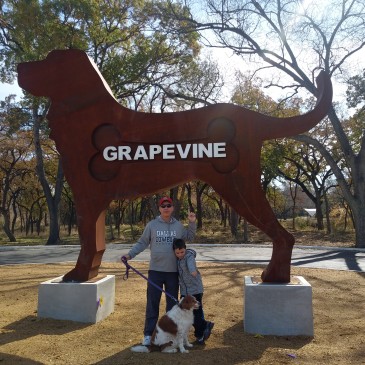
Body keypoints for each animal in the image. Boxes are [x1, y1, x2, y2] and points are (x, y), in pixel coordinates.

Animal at [17, 49, 332, 282]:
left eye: (50, 59)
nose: (18, 66)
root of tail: (251, 116)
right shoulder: (94, 200)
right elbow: (95, 242)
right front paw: (88, 273)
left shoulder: (87, 196)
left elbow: (87, 240)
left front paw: (79, 274)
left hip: (239, 188)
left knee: (284, 236)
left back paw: (273, 277)